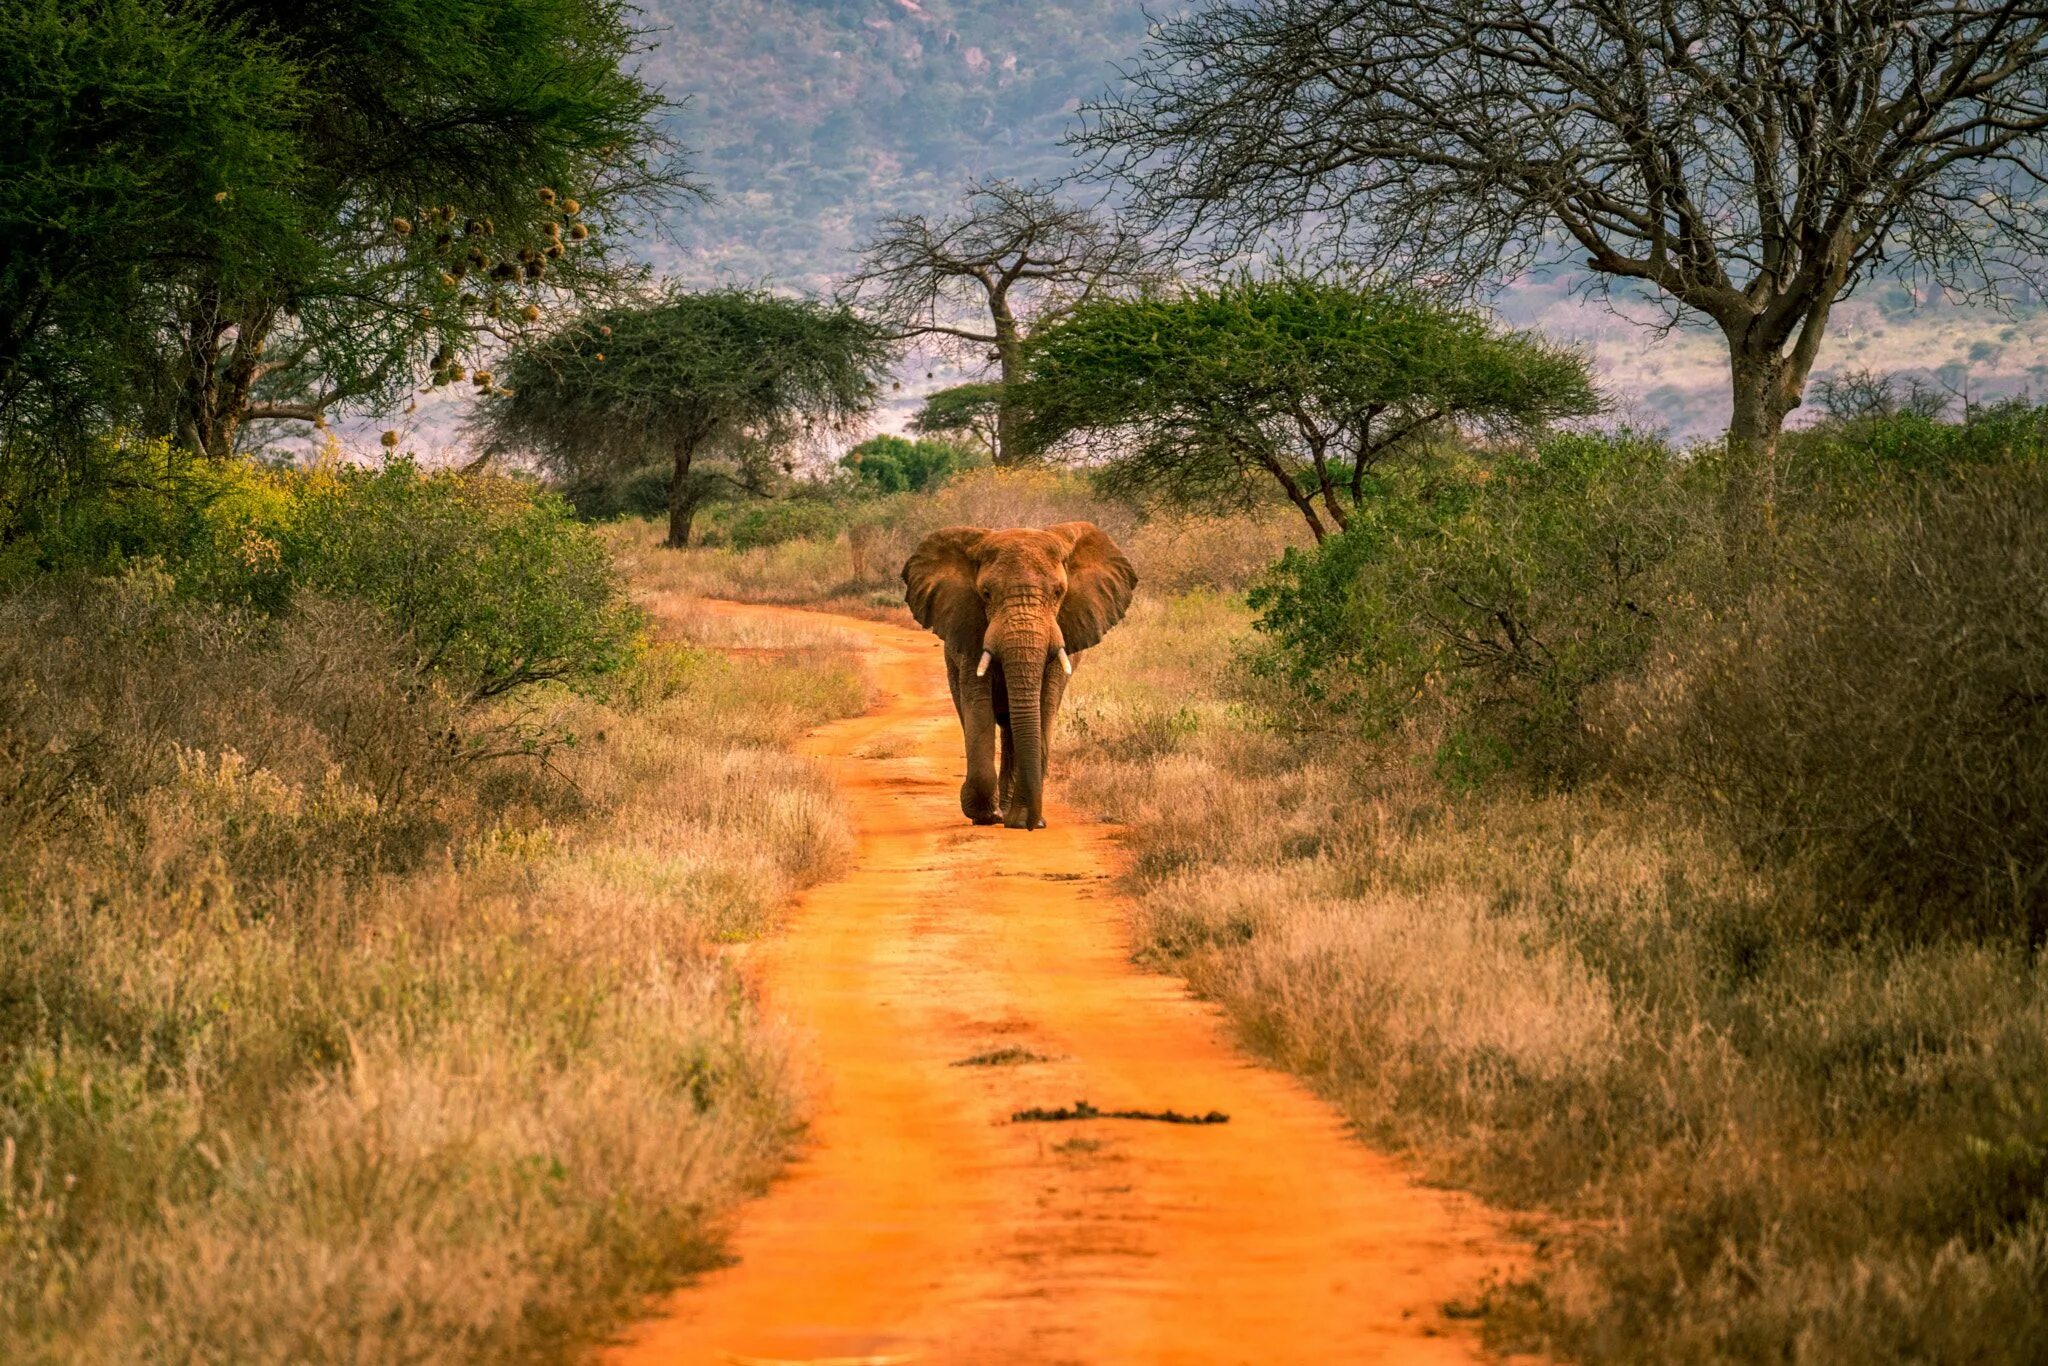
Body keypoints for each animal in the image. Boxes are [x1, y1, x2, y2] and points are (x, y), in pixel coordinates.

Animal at [909, 520, 1138, 827]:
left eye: (1058, 593)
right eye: (986, 594)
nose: (1031, 823)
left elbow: (1044, 706)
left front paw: (1024, 821)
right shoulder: (970, 630)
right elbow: (978, 705)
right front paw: (985, 815)